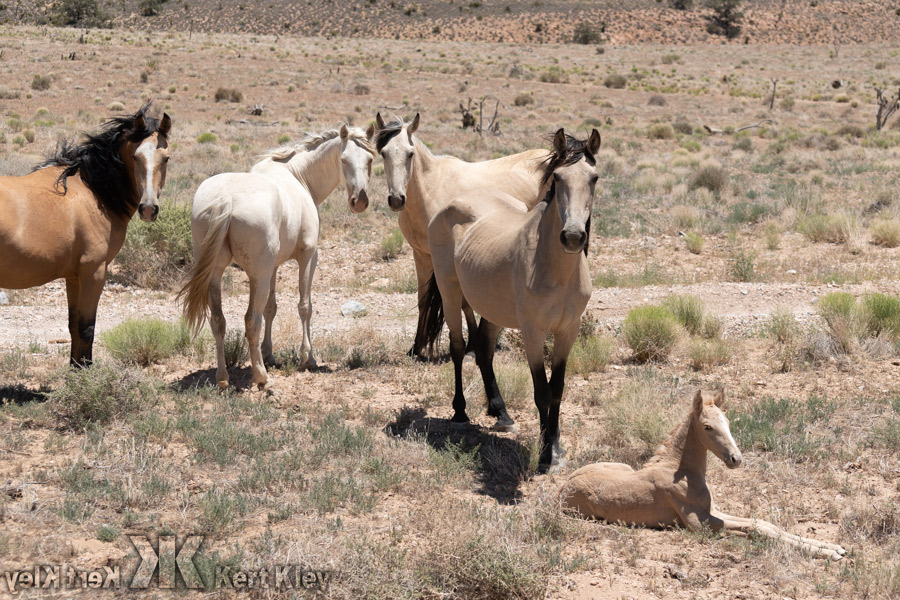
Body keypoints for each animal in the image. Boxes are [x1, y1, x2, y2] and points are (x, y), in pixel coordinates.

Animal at [0, 103, 171, 367]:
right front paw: (86, 373)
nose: (148, 208)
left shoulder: (74, 277)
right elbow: (86, 328)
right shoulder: (94, 272)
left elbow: (74, 326)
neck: (93, 191)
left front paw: (75, 369)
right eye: (135, 156)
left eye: (166, 158)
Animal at [179, 124, 376, 390]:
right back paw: (261, 378)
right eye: (343, 160)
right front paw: (307, 358)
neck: (297, 176)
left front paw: (269, 354)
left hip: (216, 275)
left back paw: (222, 378)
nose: (360, 201)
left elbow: (271, 308)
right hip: (258, 277)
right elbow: (305, 306)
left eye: (370, 160)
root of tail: (226, 200)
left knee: (219, 321)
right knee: (251, 321)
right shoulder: (308, 256)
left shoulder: (273, 267)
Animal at [373, 113, 549, 360]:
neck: (430, 189)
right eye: (383, 153)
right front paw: (416, 347)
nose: (397, 199)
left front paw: (471, 344)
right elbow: (423, 300)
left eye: (410, 153)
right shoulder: (421, 254)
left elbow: (463, 301)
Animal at [422, 128, 600, 473]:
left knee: (484, 350)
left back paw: (500, 412)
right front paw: (544, 456)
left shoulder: (567, 331)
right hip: (451, 294)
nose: (573, 237)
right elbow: (542, 392)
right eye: (558, 178)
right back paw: (460, 411)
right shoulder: (532, 332)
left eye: (594, 178)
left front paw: (556, 447)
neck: (555, 270)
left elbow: (558, 390)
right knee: (459, 347)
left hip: (492, 310)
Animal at [559, 389, 847, 561]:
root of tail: (562, 489)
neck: (681, 471)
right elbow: (754, 528)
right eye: (707, 427)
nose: (736, 459)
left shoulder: (715, 511)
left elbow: (763, 523)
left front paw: (831, 547)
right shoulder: (700, 524)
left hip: (622, 467)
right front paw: (830, 552)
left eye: (728, 422)